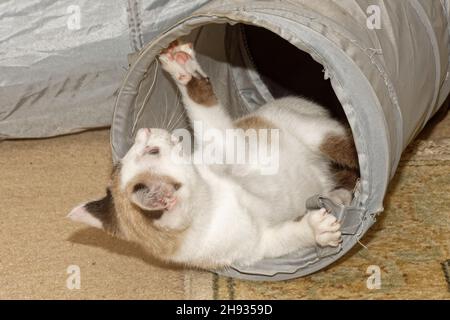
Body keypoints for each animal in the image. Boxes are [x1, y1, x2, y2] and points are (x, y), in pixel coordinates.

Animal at [67, 40, 358, 270]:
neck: (213, 201)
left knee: (348, 149)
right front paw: (316, 229)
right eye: (153, 150)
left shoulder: (228, 144)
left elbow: (206, 116)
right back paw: (339, 195)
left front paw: (183, 70)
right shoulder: (255, 247)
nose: (144, 131)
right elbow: (286, 237)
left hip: (313, 131)